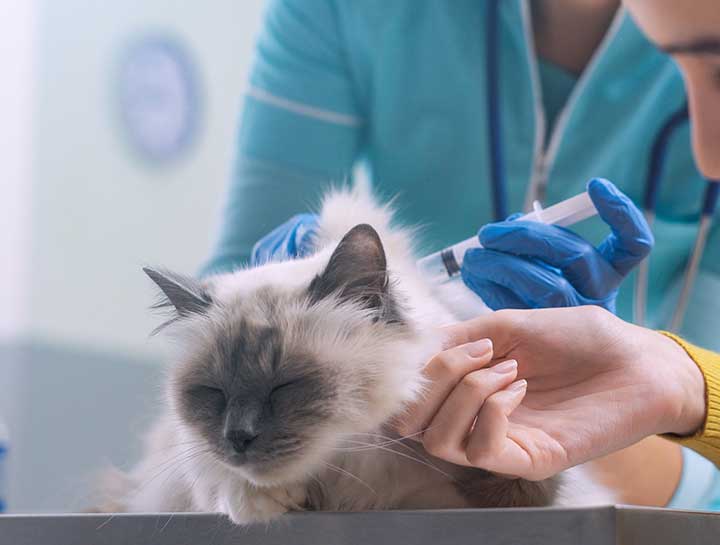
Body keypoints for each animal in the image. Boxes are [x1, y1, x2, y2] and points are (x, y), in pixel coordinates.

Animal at [95, 184, 612, 524]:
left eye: (286, 386)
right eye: (213, 394)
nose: (237, 437)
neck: (345, 476)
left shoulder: (521, 490)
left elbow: (510, 475)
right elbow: (216, 481)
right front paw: (261, 499)